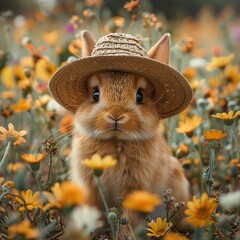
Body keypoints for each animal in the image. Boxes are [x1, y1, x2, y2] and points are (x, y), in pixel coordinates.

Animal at [47, 31, 192, 235]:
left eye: (139, 96)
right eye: (95, 94)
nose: (116, 115)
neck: (115, 141)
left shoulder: (134, 187)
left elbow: (128, 216)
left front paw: (126, 235)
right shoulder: (90, 185)